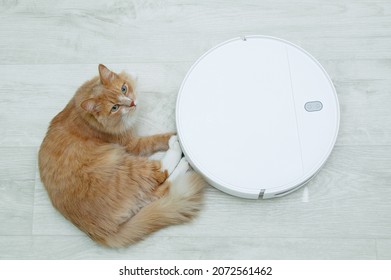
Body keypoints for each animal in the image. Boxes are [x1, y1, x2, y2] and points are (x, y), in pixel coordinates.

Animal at [38, 65, 205, 247]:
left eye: (123, 89)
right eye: (115, 108)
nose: (132, 103)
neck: (85, 117)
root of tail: (103, 232)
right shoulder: (131, 143)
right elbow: (156, 140)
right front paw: (174, 135)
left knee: (158, 191)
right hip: (127, 166)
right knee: (162, 174)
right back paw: (180, 153)